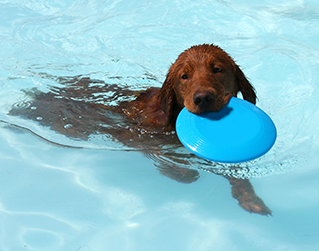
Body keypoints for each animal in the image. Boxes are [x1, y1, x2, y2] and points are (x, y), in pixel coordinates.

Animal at [8, 44, 272, 215]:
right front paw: (185, 172)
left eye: (217, 69)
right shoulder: (142, 139)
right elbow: (173, 166)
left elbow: (236, 174)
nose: (203, 98)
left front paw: (250, 199)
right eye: (184, 76)